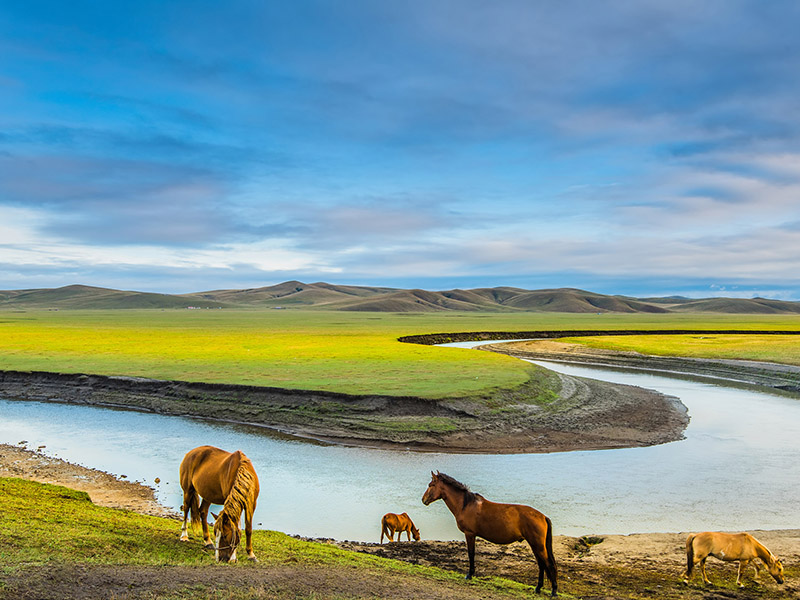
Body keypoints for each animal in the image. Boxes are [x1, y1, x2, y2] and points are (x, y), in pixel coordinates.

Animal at [422, 474, 560, 596]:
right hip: (535, 545)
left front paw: (470, 575)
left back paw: (553, 591)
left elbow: (471, 554)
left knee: (549, 564)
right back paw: (538, 588)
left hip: (538, 545)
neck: (466, 505)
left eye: (431, 485)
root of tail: (543, 516)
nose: (423, 500)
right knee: (541, 565)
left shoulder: (470, 534)